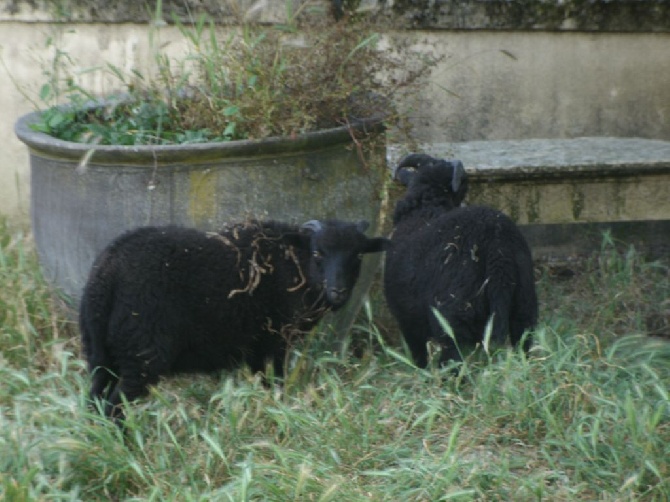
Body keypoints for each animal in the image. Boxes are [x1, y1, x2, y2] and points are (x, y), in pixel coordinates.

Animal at [79, 220, 392, 420]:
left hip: (101, 353)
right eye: (318, 252)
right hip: (141, 352)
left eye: (358, 254)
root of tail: (107, 271)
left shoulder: (255, 347)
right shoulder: (275, 341)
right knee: (114, 406)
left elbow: (263, 382)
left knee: (95, 399)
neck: (293, 265)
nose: (339, 291)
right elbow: (277, 381)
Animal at [386, 154, 540, 368]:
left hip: (453, 318)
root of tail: (497, 243)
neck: (425, 207)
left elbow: (419, 356)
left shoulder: (407, 320)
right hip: (524, 307)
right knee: (523, 344)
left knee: (452, 359)